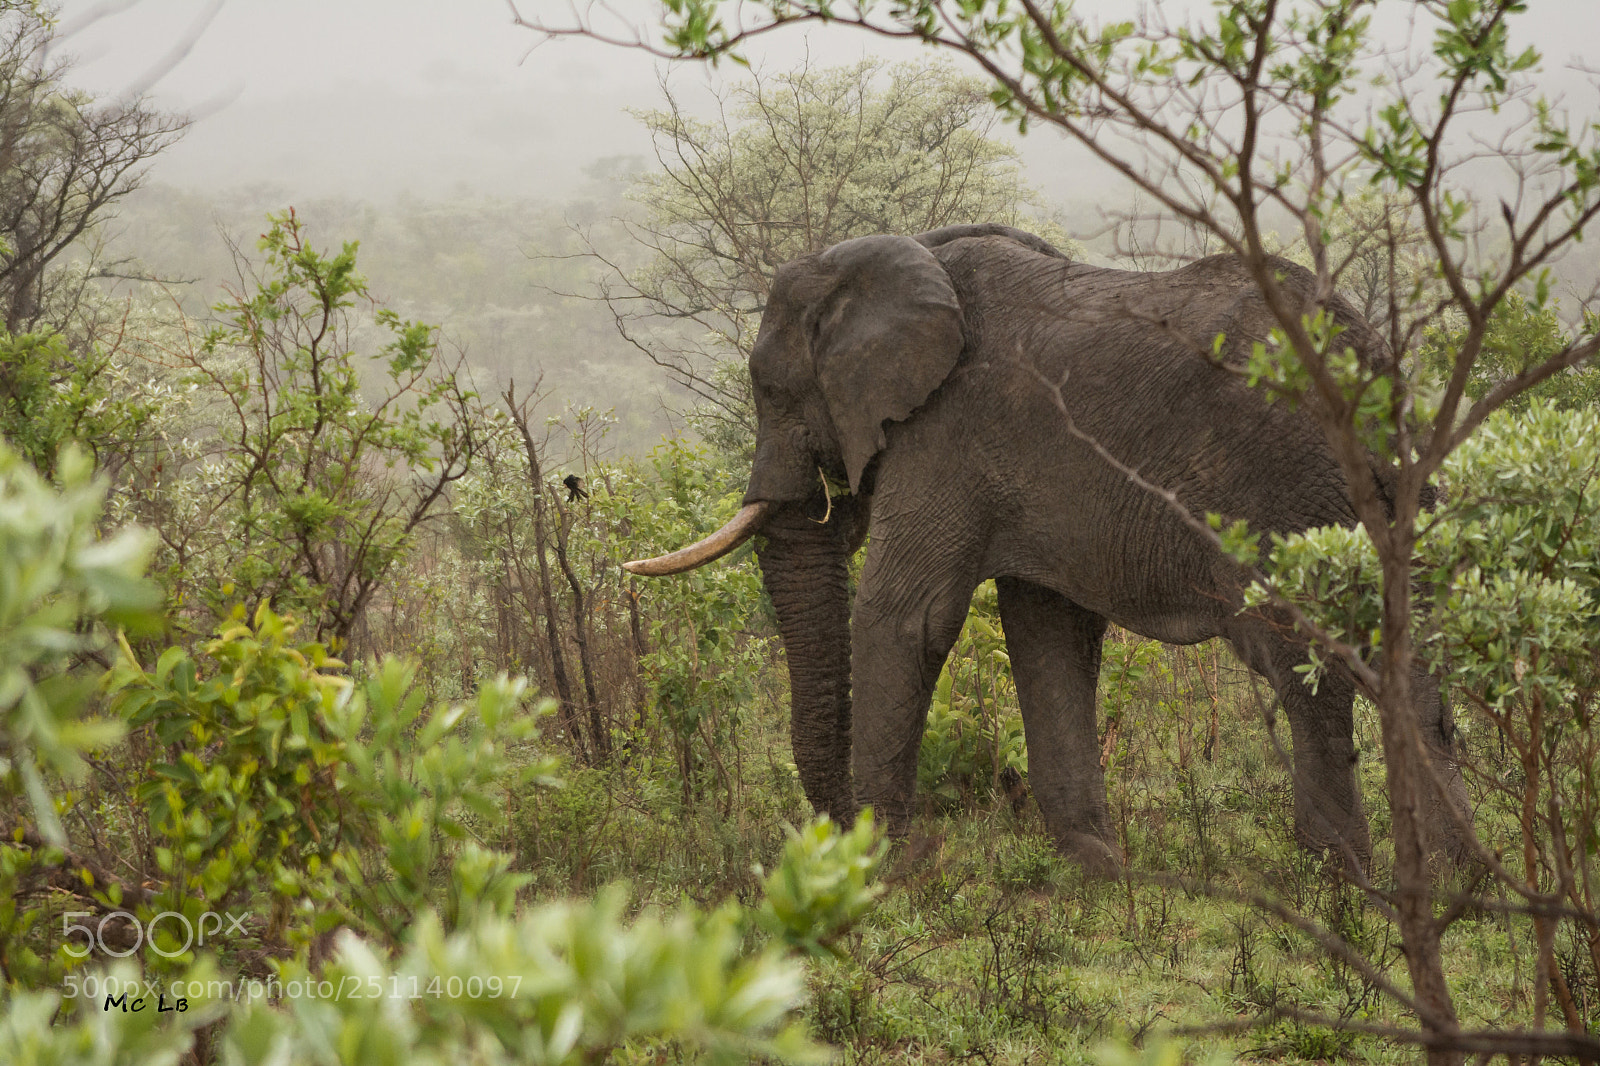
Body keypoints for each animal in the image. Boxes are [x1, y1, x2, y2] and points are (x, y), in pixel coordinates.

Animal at [625, 222, 1471, 876]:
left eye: (770, 390)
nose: (835, 834)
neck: (907, 253)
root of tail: (1372, 364)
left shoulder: (947, 431)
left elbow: (908, 618)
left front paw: (880, 871)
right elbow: (1049, 636)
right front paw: (1094, 869)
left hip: (1280, 490)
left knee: (1298, 666)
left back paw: (1341, 878)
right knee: (1416, 665)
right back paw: (1454, 880)